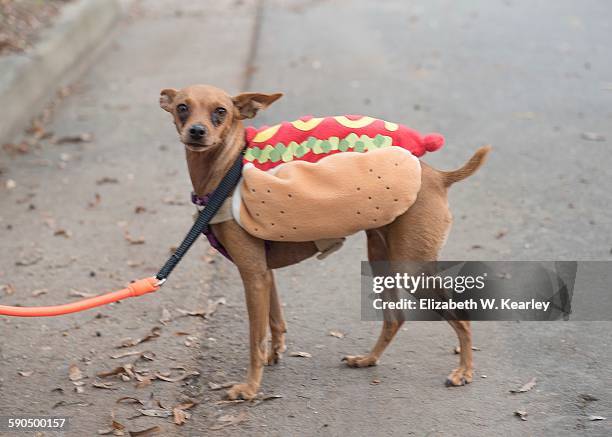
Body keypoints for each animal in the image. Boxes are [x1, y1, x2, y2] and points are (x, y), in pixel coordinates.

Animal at [160, 84, 490, 398]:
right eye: (182, 107)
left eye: (221, 111)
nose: (197, 131)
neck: (226, 171)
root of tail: (439, 177)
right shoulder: (265, 274)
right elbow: (275, 321)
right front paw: (274, 354)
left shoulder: (253, 275)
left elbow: (255, 339)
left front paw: (250, 388)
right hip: (382, 259)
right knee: (394, 318)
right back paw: (367, 359)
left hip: (412, 268)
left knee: (460, 317)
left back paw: (464, 371)